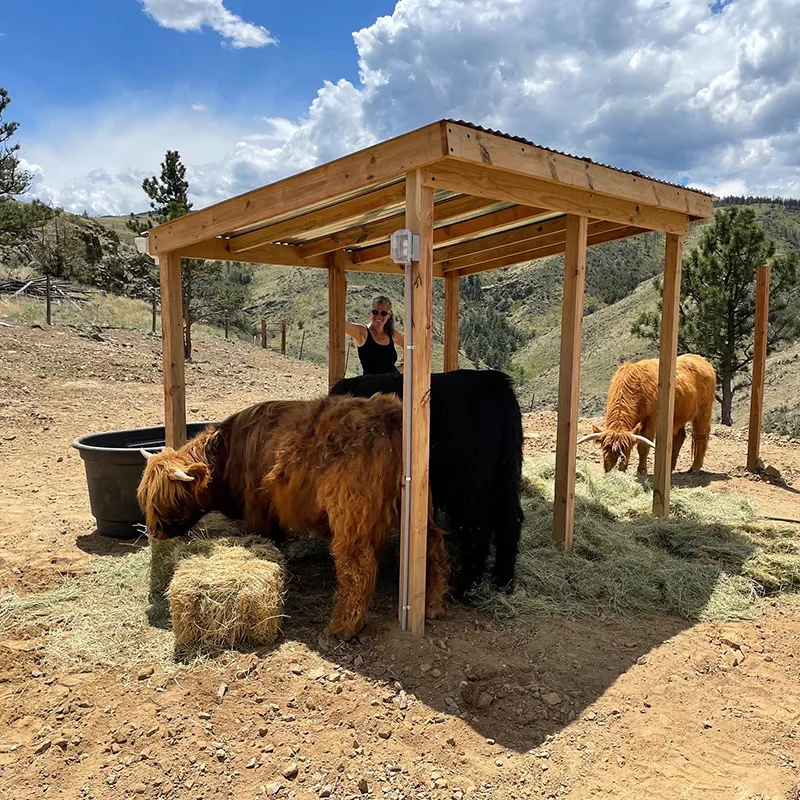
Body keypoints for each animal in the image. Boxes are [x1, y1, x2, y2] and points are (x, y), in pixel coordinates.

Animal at [328, 368, 520, 592]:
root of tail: (494, 381)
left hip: (469, 484)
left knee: (479, 525)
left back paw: (465, 587)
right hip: (505, 475)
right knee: (509, 520)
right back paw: (502, 581)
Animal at [580, 354, 716, 472]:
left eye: (626, 451)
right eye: (605, 450)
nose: (614, 468)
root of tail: (701, 359)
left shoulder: (651, 418)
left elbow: (643, 445)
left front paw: (641, 470)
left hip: (704, 410)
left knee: (701, 435)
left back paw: (695, 467)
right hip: (678, 415)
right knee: (679, 436)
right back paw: (671, 467)